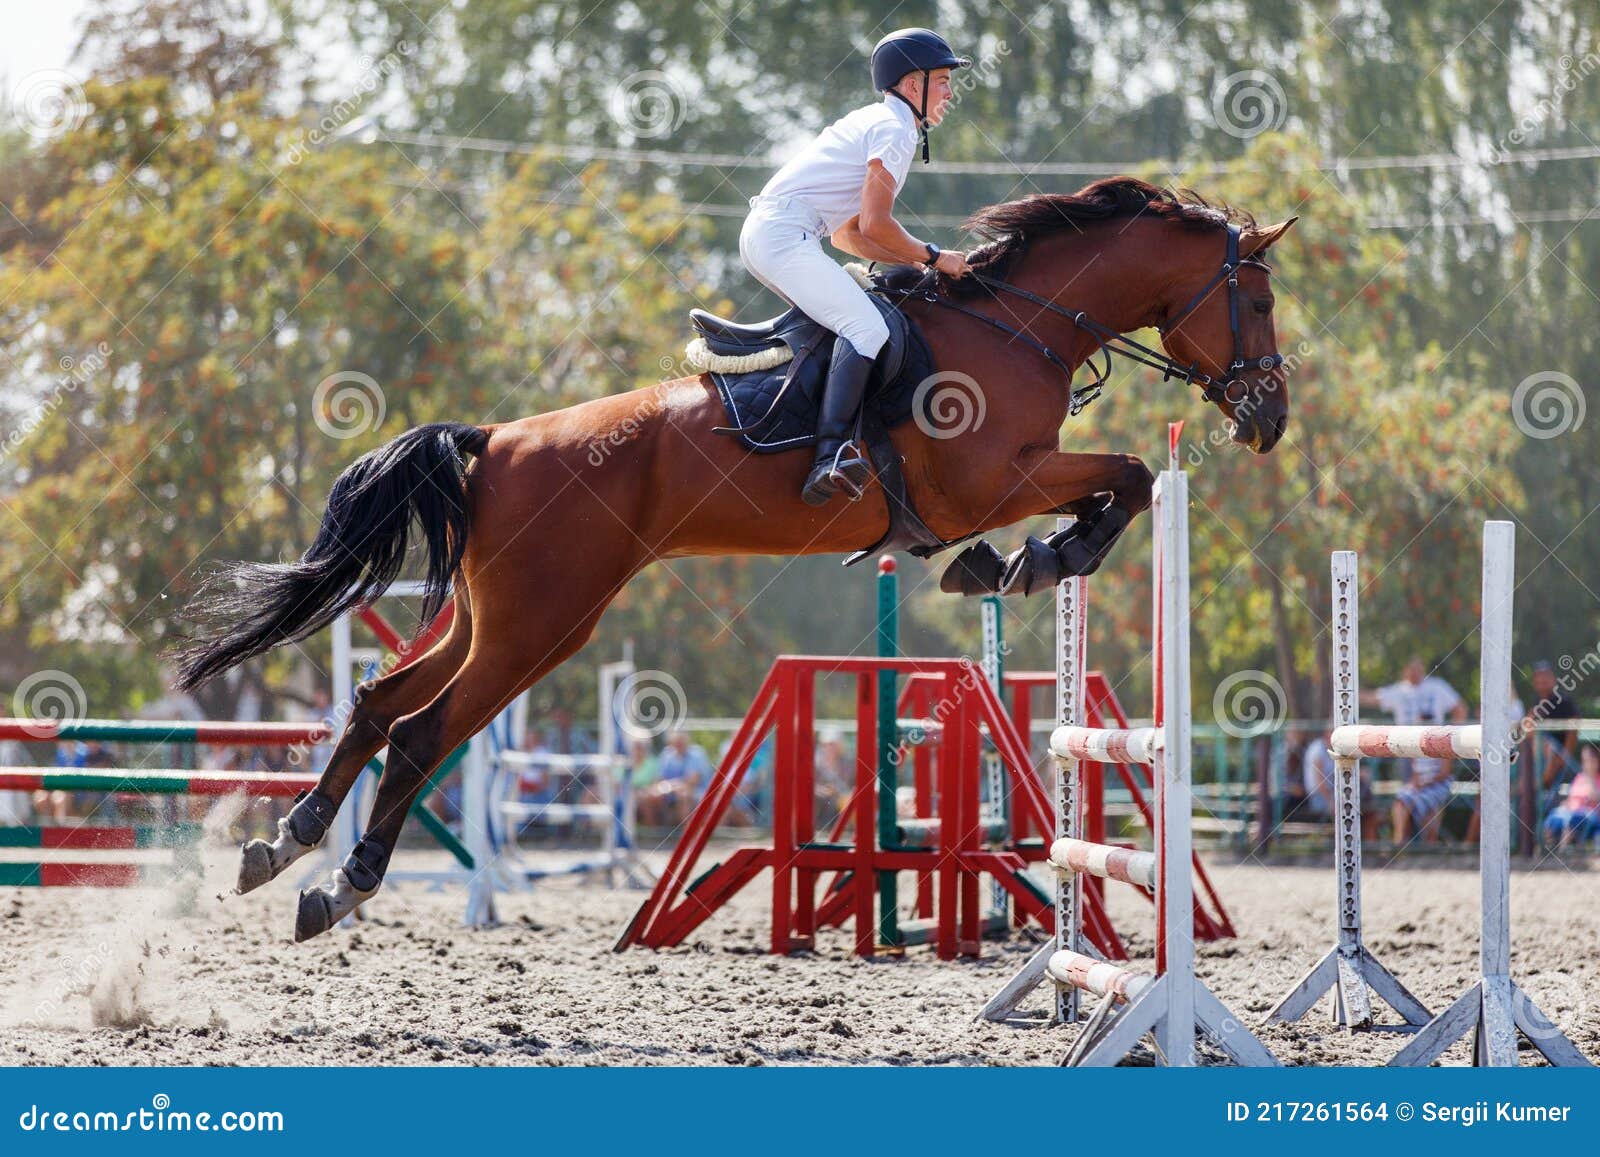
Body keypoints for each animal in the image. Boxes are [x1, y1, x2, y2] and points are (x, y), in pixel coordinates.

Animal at [175, 180, 1299, 940]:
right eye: (1259, 300)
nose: (1270, 417)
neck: (1018, 328)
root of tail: (493, 439)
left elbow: (1119, 481)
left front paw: (1013, 563)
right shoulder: (991, 482)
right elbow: (1130, 477)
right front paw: (1039, 556)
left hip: (495, 616)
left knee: (377, 704)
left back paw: (286, 842)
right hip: (544, 622)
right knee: (419, 732)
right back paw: (342, 881)